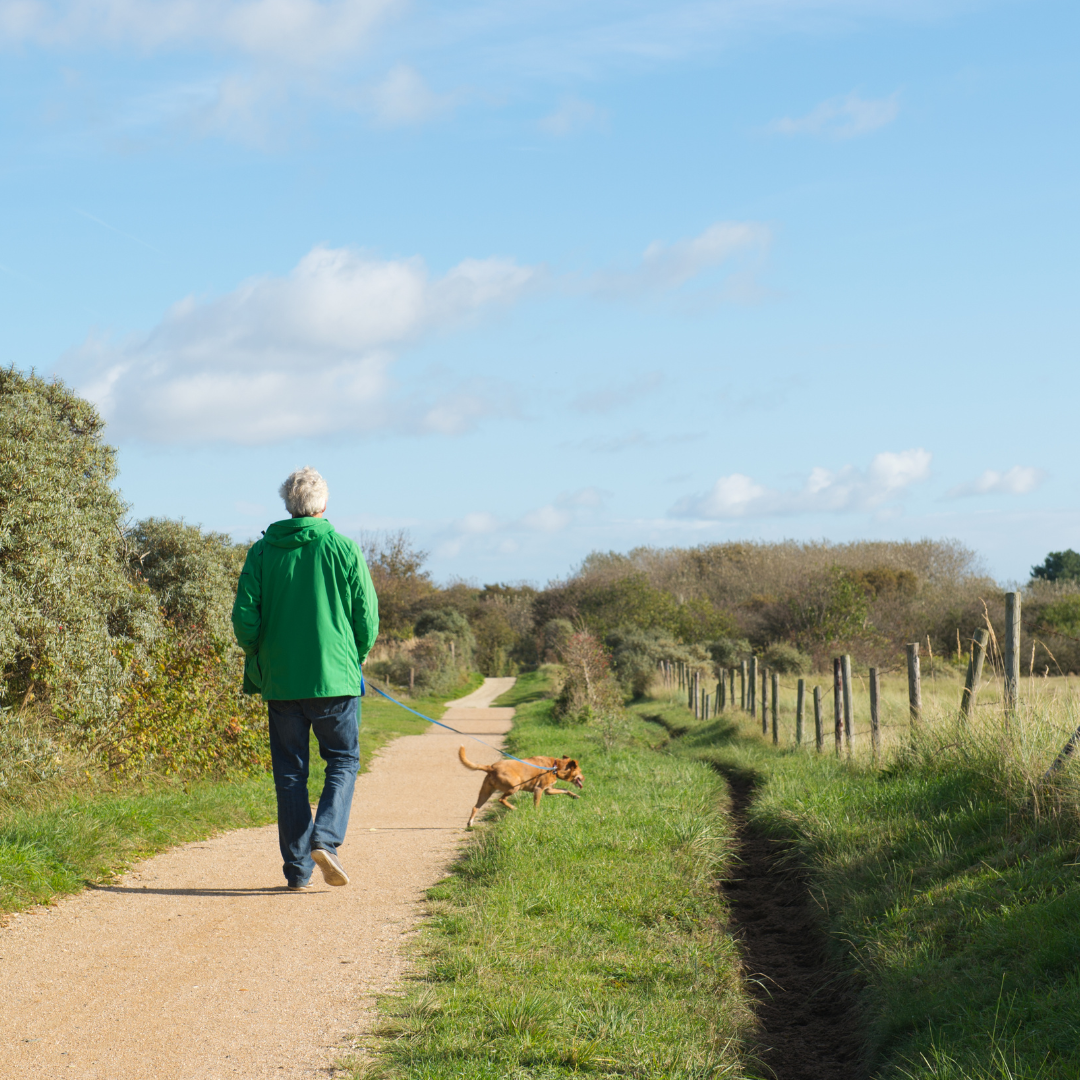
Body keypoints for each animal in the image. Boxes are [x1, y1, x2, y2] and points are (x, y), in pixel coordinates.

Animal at [457, 747, 587, 829]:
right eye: (580, 771)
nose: (584, 778)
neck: (555, 766)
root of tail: (491, 767)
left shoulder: (549, 790)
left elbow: (565, 790)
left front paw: (575, 796)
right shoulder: (538, 789)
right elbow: (536, 805)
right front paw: (537, 814)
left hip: (486, 792)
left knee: (475, 807)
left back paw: (470, 823)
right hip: (515, 786)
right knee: (501, 799)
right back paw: (514, 808)